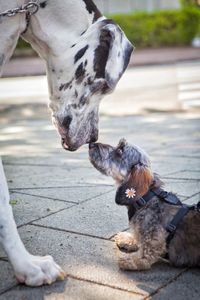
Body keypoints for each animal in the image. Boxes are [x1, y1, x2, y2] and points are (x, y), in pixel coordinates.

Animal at [89, 139, 200, 270]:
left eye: (120, 150)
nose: (91, 144)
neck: (146, 200)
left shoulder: (153, 246)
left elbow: (142, 258)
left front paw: (128, 260)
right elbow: (137, 238)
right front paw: (128, 239)